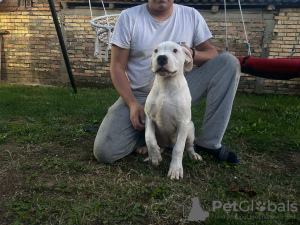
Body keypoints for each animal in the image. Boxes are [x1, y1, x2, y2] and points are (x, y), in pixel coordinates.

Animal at [144, 41, 203, 180]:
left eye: (175, 50)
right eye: (156, 51)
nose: (161, 58)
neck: (166, 85)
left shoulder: (183, 123)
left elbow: (179, 148)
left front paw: (175, 169)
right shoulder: (149, 118)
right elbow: (149, 138)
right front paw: (155, 157)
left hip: (190, 128)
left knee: (188, 146)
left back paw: (193, 155)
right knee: (159, 144)